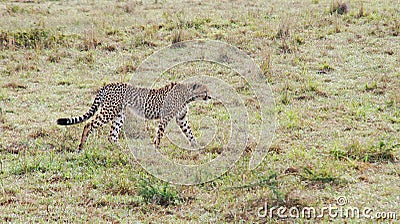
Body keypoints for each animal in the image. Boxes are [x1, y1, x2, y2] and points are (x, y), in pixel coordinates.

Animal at [57, 82, 212, 150]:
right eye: (205, 91)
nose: (210, 96)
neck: (188, 95)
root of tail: (108, 85)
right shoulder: (166, 117)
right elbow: (160, 133)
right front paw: (156, 147)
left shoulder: (181, 119)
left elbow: (189, 132)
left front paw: (196, 145)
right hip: (109, 111)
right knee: (88, 124)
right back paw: (81, 146)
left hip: (119, 115)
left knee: (112, 135)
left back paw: (122, 149)